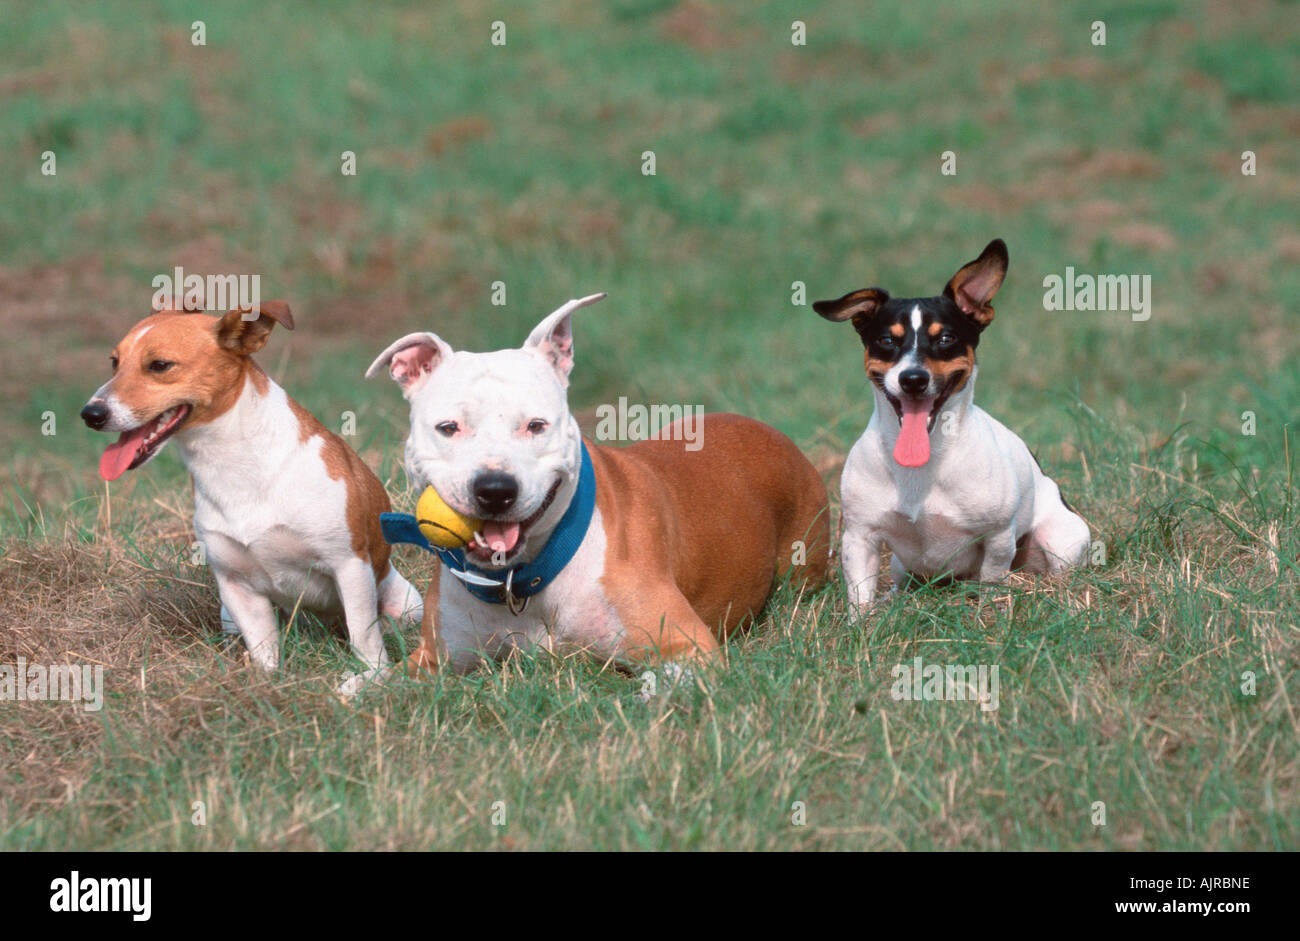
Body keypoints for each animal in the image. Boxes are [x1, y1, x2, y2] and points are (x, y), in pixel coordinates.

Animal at [79, 297, 421, 696]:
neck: (234, 463)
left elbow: (365, 642)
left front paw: (368, 680)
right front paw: (267, 686)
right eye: (114, 362)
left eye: (159, 365)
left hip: (405, 604)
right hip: (228, 614)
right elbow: (264, 652)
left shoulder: (349, 566)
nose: (90, 413)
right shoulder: (236, 587)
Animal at [369, 293, 832, 675]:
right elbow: (375, 686)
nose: (495, 489)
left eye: (536, 425)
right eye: (448, 428)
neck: (526, 577)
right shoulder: (432, 660)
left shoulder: (687, 647)